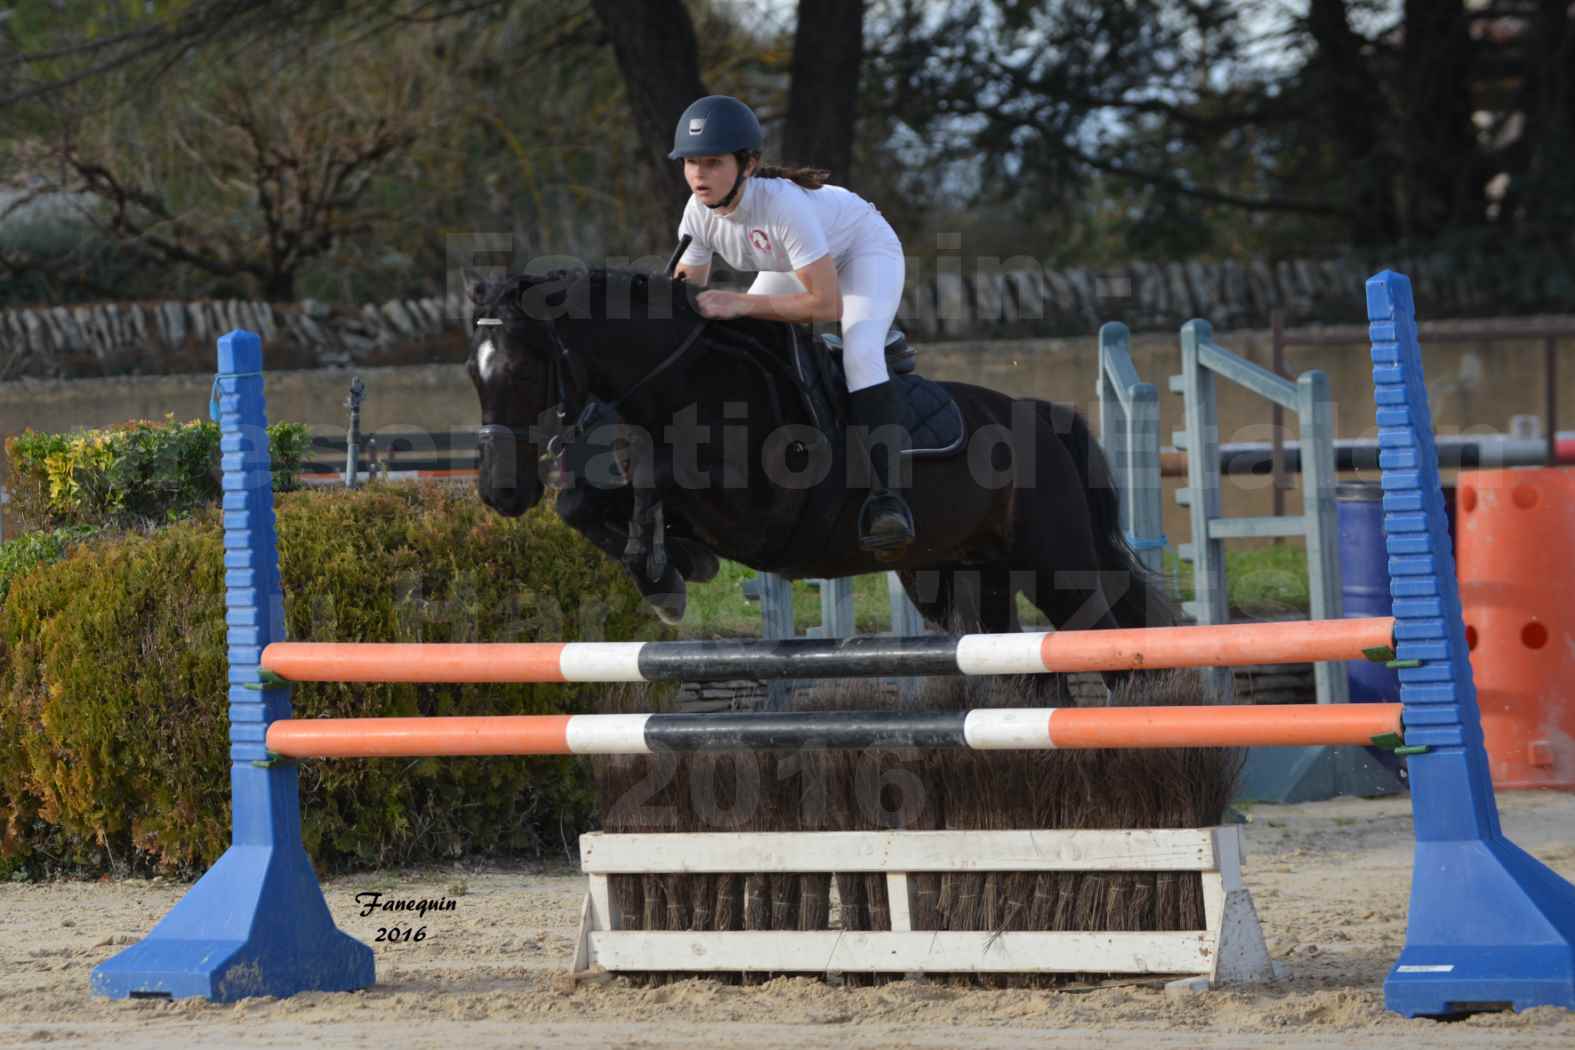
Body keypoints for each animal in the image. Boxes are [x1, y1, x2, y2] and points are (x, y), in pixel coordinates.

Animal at [466, 264, 1171, 658]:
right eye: (473, 374)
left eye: (523, 371)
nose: (500, 493)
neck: (688, 380)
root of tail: (1046, 418)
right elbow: (581, 499)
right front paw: (666, 571)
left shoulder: (756, 508)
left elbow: (654, 475)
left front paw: (665, 573)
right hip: (960, 574)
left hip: (1059, 565)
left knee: (1109, 643)